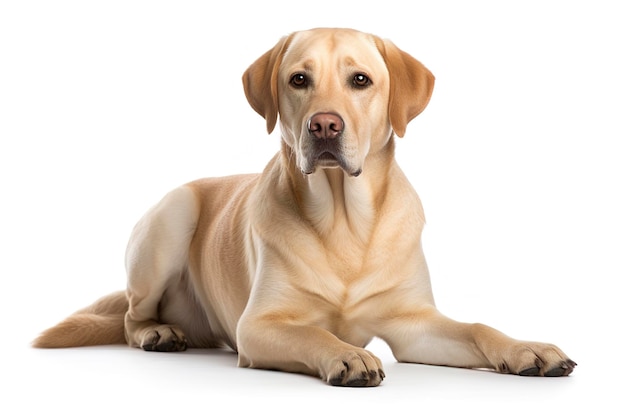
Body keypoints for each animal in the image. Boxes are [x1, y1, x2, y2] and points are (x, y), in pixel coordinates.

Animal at [31, 27, 572, 386]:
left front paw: (527, 348)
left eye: (360, 80)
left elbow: (478, 327)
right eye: (298, 80)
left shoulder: (413, 324)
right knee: (129, 318)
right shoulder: (258, 326)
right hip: (171, 218)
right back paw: (157, 332)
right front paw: (347, 356)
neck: (345, 222)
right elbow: (315, 335)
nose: (325, 125)